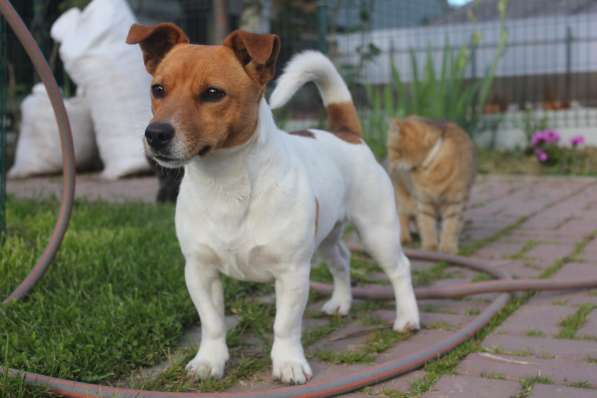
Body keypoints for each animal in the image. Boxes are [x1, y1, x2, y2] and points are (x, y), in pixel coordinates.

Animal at [125, 23, 420, 384]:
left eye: (212, 93)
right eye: (158, 89)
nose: (155, 134)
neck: (225, 183)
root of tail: (346, 133)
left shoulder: (292, 273)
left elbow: (285, 325)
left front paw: (288, 363)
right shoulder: (199, 271)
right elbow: (212, 323)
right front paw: (210, 360)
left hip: (377, 232)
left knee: (400, 269)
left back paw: (407, 318)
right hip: (326, 237)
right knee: (342, 260)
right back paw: (341, 302)